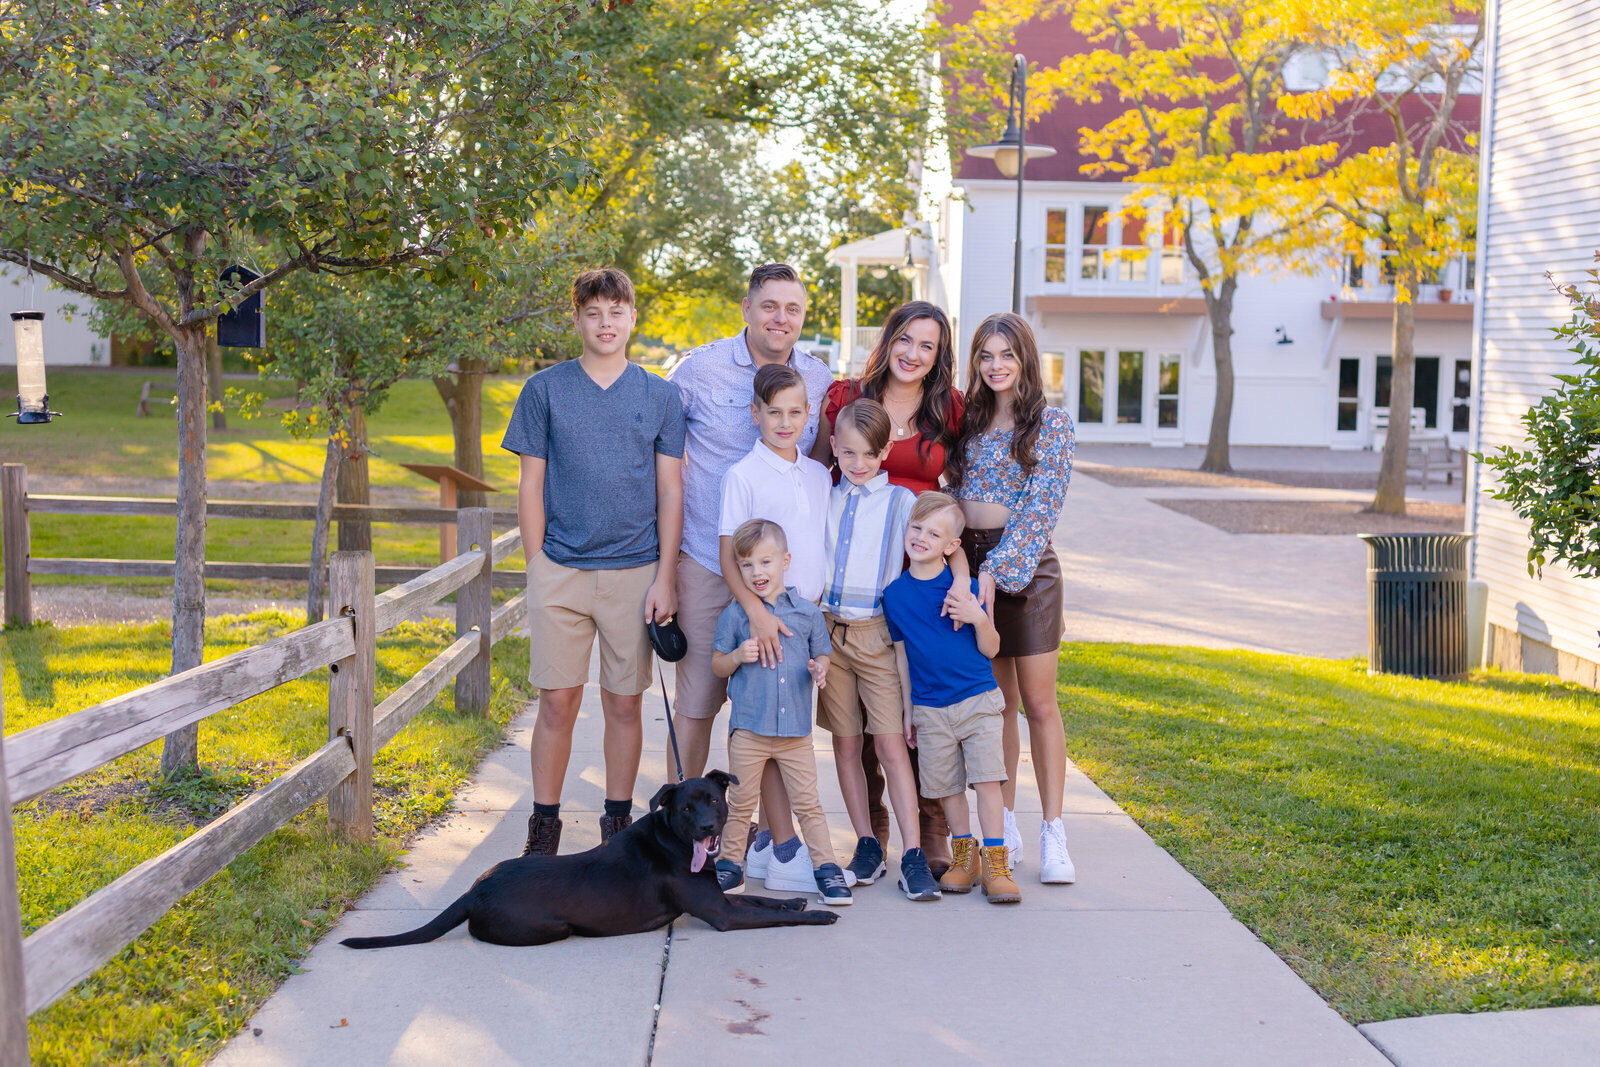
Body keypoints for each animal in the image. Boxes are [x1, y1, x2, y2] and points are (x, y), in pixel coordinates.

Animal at [339, 767, 838, 953]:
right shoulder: (720, 913)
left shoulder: (720, 898)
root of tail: (473, 889)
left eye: (713, 800)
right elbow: (763, 913)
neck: (673, 841)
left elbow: (763, 903)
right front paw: (816, 916)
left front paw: (795, 901)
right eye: (685, 809)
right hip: (549, 927)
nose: (706, 829)